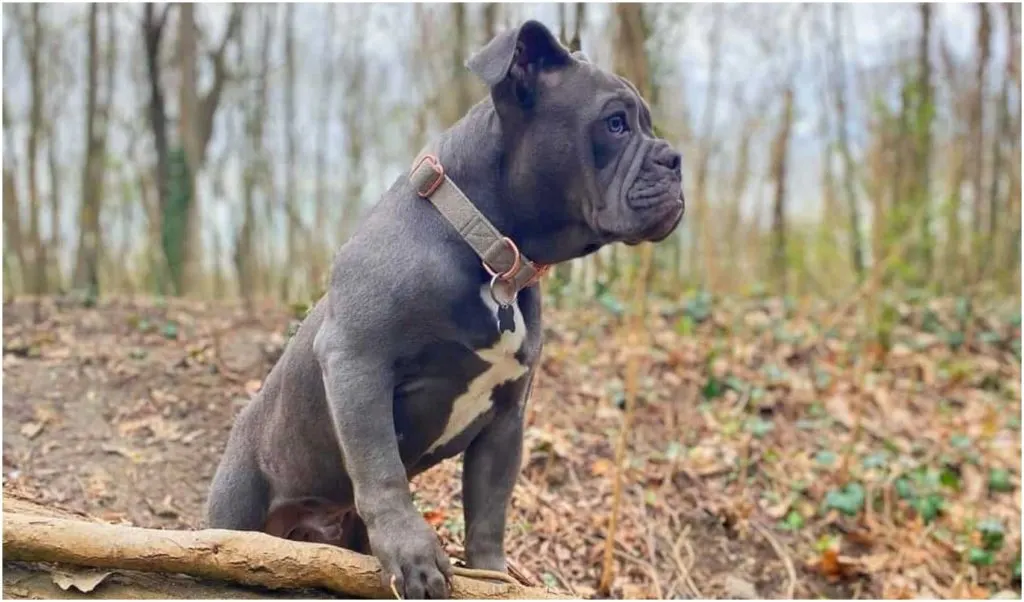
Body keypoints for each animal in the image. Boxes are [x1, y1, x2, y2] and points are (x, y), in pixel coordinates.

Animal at [205, 17, 688, 597]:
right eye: (615, 124)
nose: (675, 159)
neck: (492, 256)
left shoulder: (505, 421)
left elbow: (489, 511)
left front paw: (493, 574)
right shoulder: (356, 362)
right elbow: (381, 467)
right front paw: (414, 553)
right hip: (237, 503)